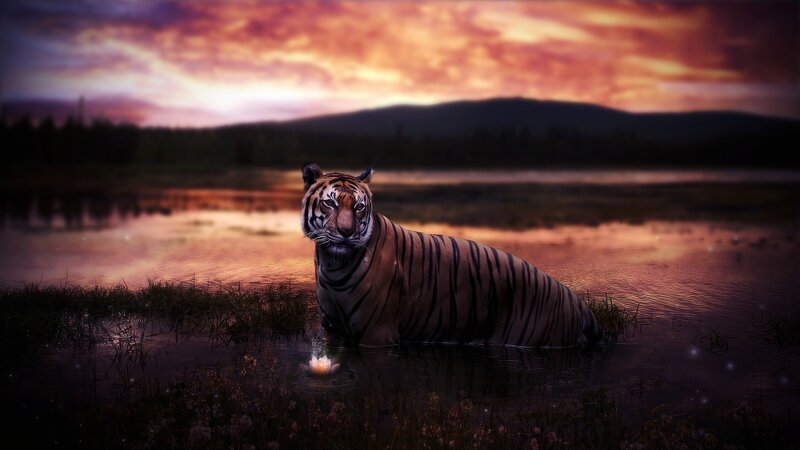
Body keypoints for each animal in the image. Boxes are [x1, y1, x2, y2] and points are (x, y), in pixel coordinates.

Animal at [300, 163, 604, 347]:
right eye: (330, 203)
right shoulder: (332, 331)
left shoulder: (378, 333)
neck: (333, 265)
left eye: (360, 207)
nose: (346, 232)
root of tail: (581, 305)